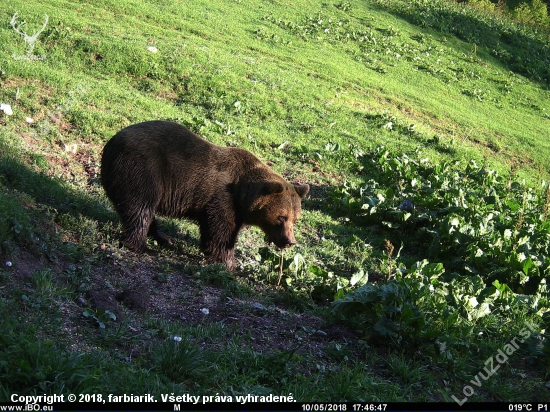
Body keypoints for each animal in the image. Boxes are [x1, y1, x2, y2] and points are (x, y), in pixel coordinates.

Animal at [99, 120, 310, 270]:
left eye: (295, 219)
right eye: (281, 217)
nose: (289, 241)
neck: (242, 194)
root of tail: (110, 143)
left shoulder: (238, 209)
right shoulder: (222, 198)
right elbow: (220, 231)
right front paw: (226, 262)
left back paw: (164, 237)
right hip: (143, 170)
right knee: (140, 208)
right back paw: (141, 246)